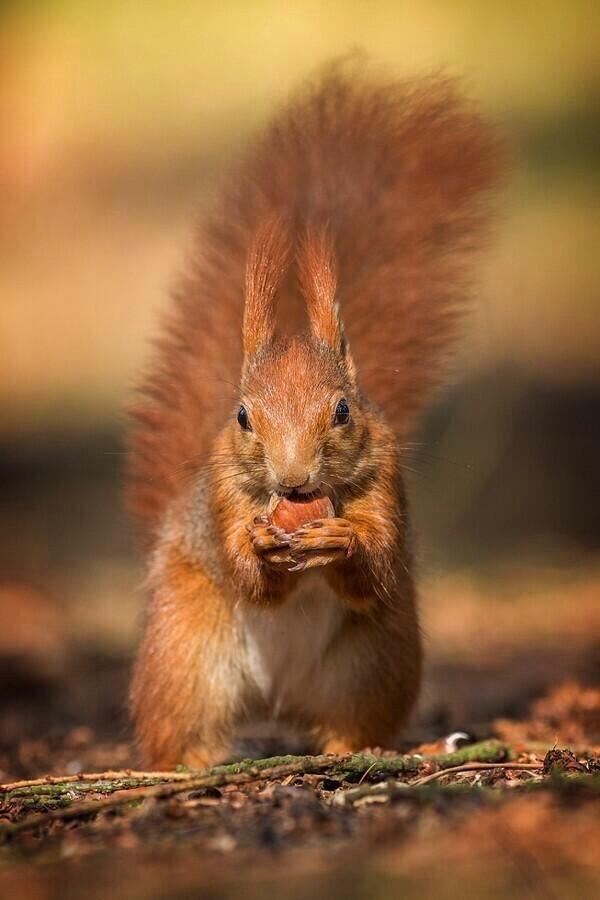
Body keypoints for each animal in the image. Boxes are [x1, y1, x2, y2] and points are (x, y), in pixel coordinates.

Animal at [126, 61, 502, 768]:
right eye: (243, 417)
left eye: (343, 410)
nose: (295, 479)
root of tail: (278, 699)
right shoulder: (221, 499)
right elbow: (248, 575)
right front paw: (258, 545)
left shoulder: (385, 483)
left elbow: (374, 562)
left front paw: (340, 538)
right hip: (184, 655)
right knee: (180, 728)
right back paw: (177, 768)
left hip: (374, 662)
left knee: (352, 720)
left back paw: (368, 750)